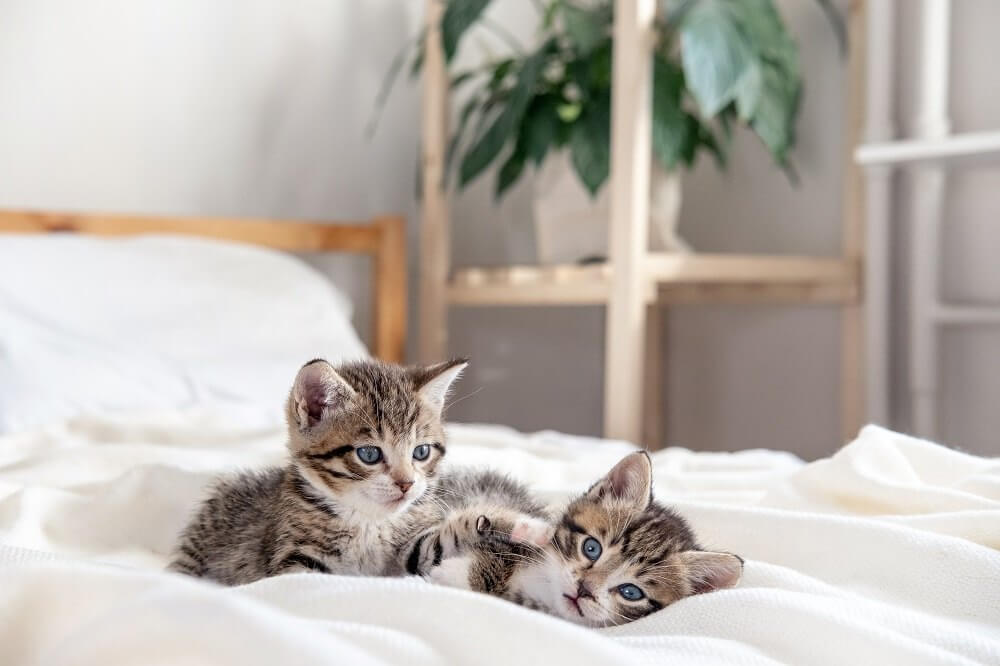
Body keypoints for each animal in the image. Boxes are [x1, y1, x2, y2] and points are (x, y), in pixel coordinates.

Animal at [170, 356, 466, 584]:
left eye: (421, 452)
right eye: (369, 454)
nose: (406, 484)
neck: (368, 520)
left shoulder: (413, 545)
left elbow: (431, 549)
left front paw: (475, 523)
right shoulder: (293, 558)